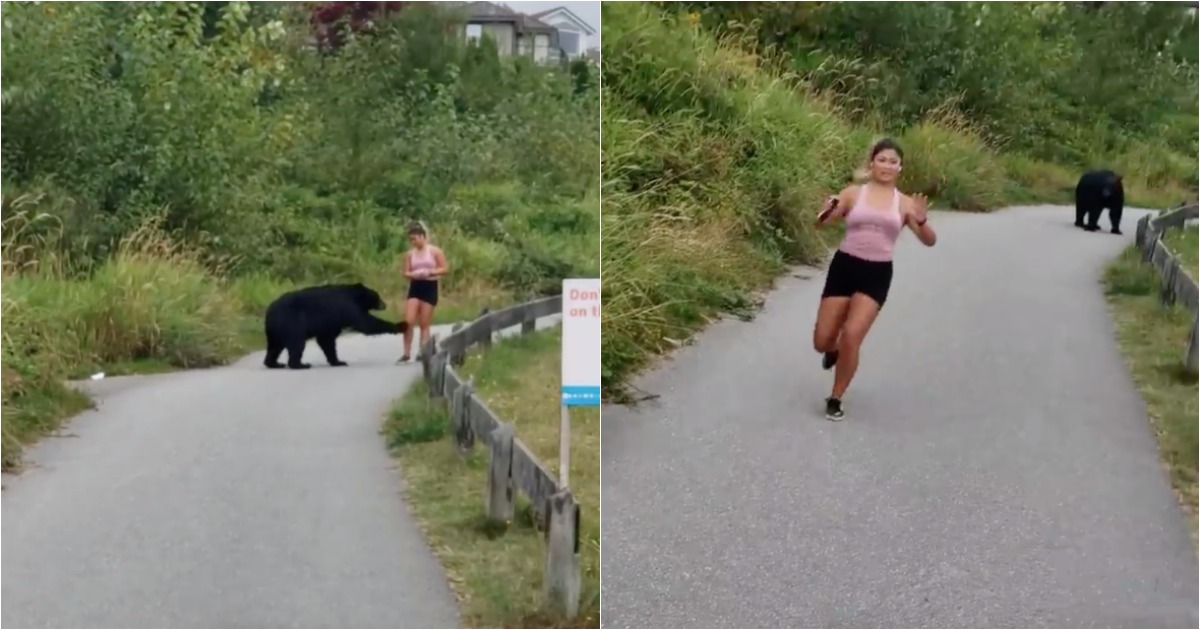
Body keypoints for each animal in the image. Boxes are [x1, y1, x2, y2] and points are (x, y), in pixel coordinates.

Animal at [264, 280, 408, 369]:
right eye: (377, 296)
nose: (385, 304)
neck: (354, 296)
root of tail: (269, 312)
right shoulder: (347, 307)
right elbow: (366, 324)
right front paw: (401, 325)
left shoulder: (331, 322)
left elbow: (327, 340)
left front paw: (338, 361)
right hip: (292, 322)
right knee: (296, 343)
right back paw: (300, 365)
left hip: (276, 330)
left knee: (274, 347)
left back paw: (274, 363)